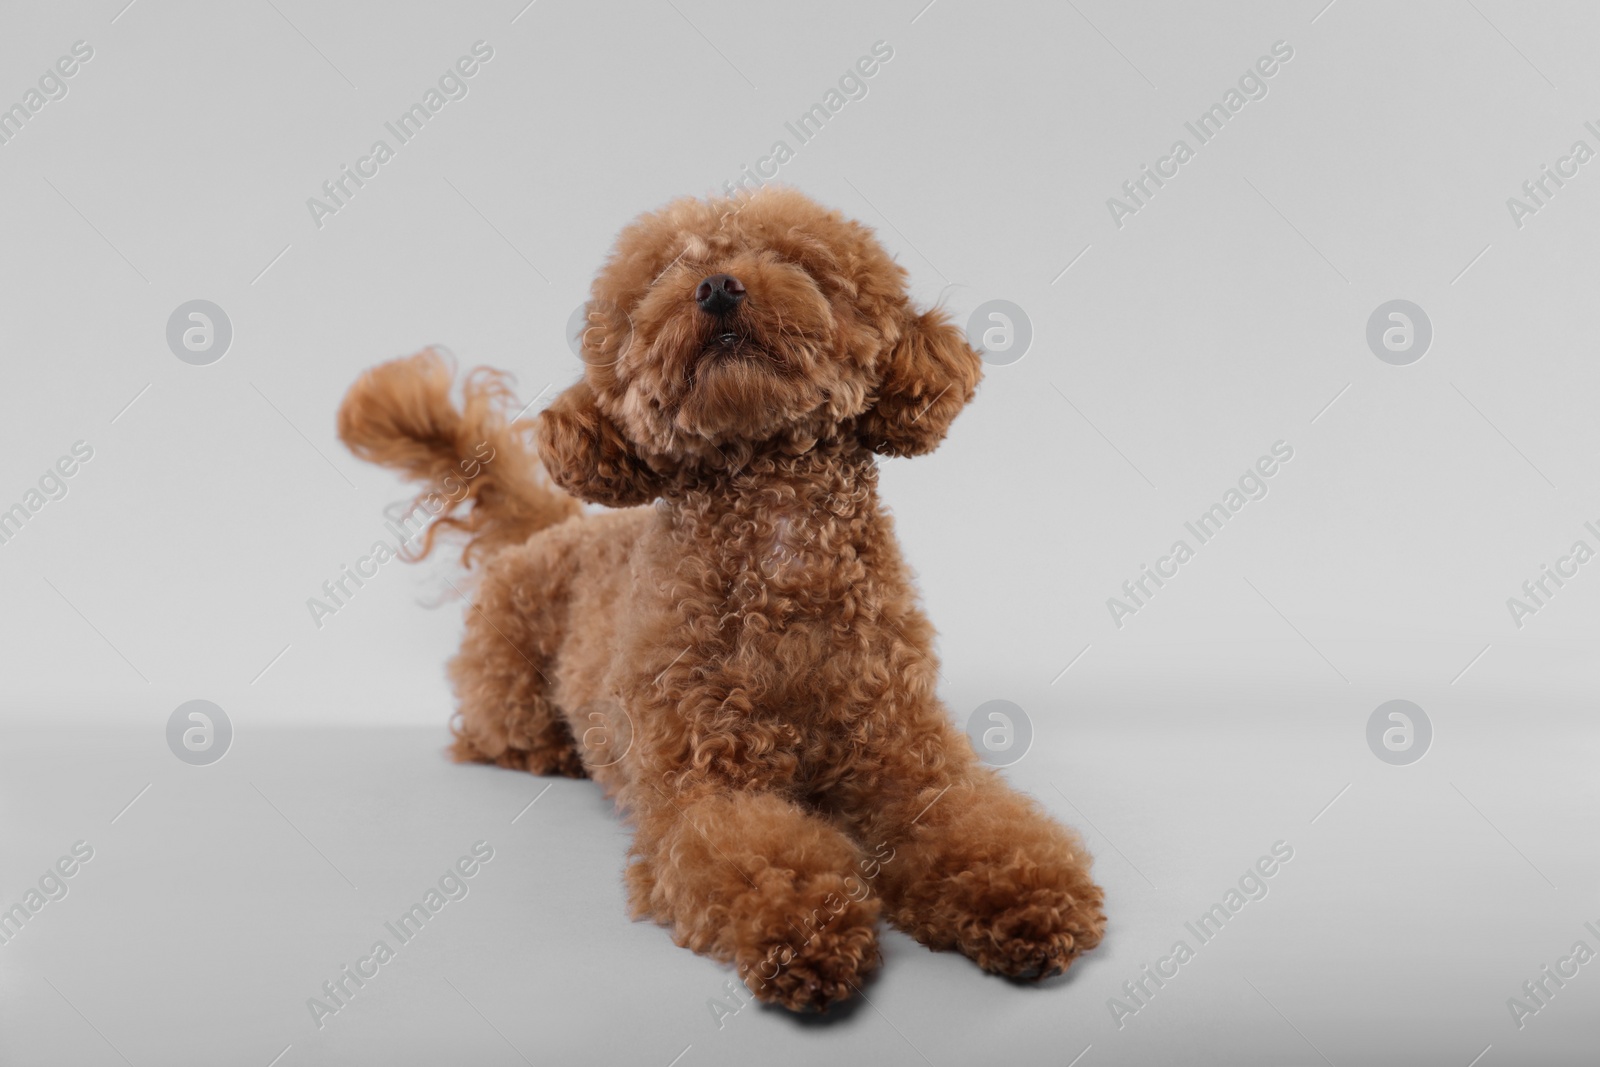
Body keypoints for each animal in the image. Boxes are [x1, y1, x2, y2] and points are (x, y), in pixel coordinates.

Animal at [337, 187, 1107, 1017]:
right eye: (664, 274)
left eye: (794, 261)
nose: (716, 287)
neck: (777, 541)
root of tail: (556, 527)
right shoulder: (703, 781)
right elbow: (756, 852)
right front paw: (807, 932)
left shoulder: (907, 755)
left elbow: (978, 825)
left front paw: (1027, 898)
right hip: (506, 686)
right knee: (487, 732)